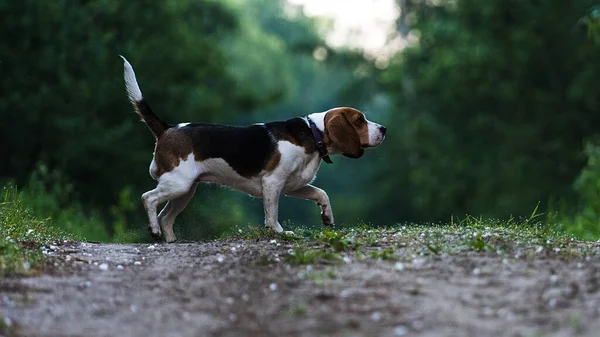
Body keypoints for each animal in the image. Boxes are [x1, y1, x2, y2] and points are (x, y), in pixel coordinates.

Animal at [119, 57, 386, 242]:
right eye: (360, 120)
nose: (383, 128)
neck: (313, 133)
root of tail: (168, 128)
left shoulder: (293, 185)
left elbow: (321, 194)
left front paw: (327, 216)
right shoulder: (273, 182)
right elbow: (272, 213)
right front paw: (278, 232)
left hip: (185, 191)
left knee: (165, 217)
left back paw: (171, 240)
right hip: (178, 184)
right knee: (148, 198)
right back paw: (154, 231)